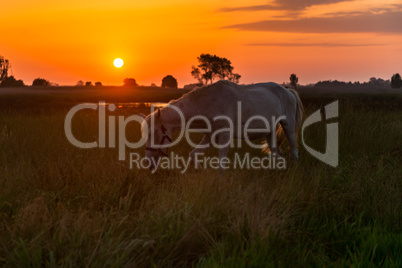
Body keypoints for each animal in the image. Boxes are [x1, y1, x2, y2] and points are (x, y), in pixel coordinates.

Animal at [140, 79, 304, 171]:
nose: (148, 163)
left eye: (154, 134)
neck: (209, 103)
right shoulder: (210, 137)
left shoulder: (224, 136)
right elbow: (193, 154)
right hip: (269, 133)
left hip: (288, 126)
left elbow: (221, 166)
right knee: (277, 154)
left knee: (294, 151)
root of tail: (287, 91)